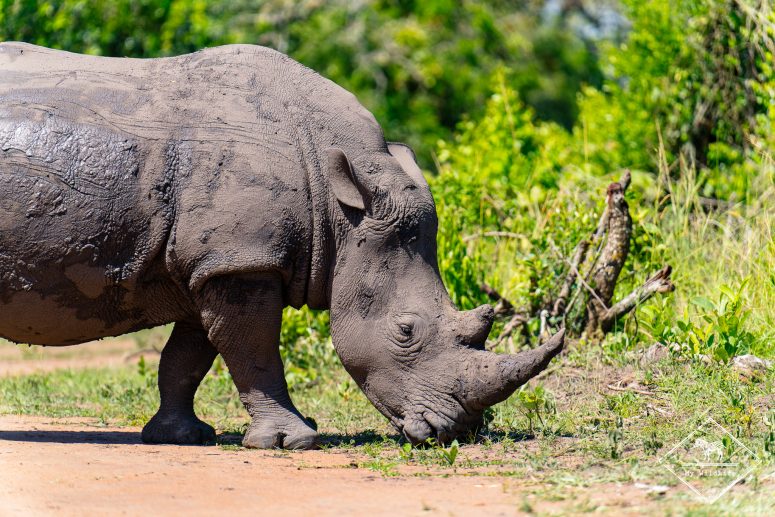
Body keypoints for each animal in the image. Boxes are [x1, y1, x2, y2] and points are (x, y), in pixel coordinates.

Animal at [0, 42, 564, 449]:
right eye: (406, 332)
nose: (458, 432)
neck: (341, 208)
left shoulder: (217, 260)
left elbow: (189, 356)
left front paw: (181, 436)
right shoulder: (242, 260)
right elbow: (254, 351)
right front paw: (292, 441)